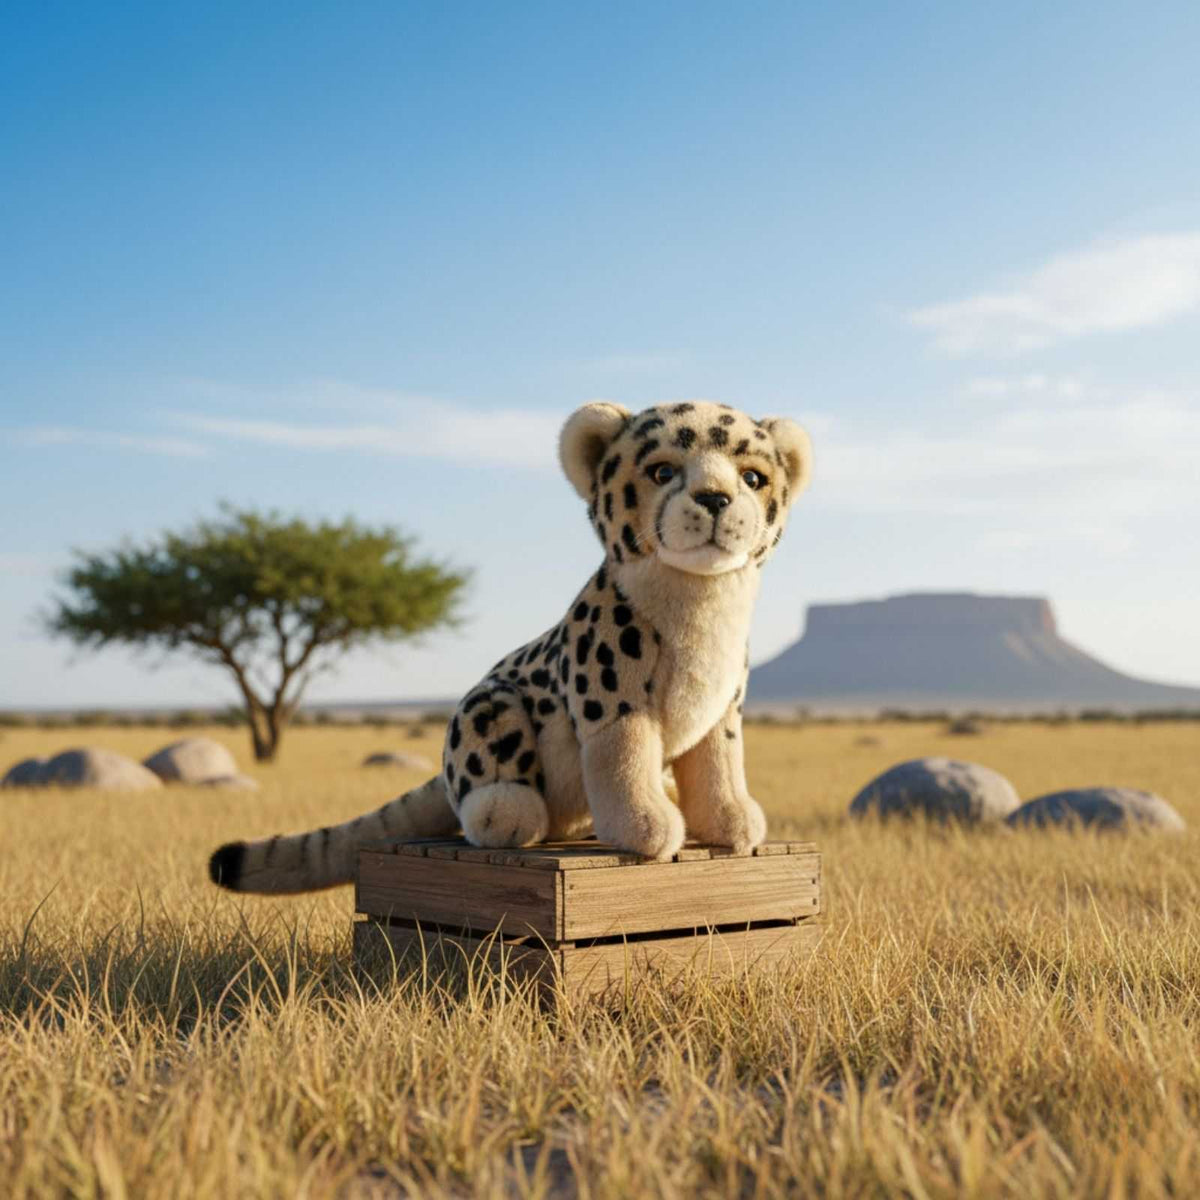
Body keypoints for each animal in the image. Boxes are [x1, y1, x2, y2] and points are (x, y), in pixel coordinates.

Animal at [208, 400, 812, 894]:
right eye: (663, 471)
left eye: (753, 477)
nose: (715, 498)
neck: (702, 599)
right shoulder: (612, 705)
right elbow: (624, 761)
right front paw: (646, 825)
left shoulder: (721, 711)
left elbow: (718, 763)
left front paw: (730, 822)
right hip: (490, 701)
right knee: (486, 774)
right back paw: (508, 812)